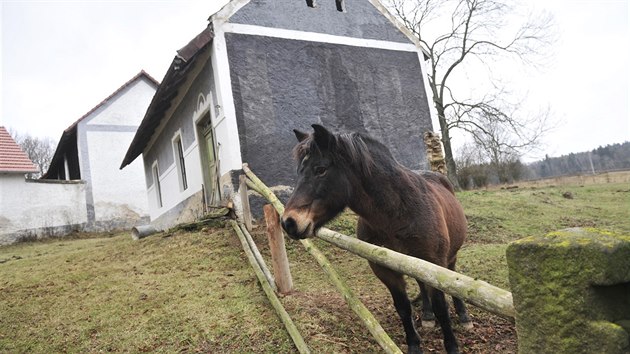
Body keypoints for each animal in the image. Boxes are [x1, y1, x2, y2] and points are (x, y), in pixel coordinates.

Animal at [284, 125, 472, 354]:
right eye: (299, 171)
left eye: (320, 169)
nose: (289, 222)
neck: (398, 212)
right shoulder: (384, 269)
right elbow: (403, 307)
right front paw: (414, 344)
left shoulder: (434, 264)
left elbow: (442, 309)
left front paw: (452, 346)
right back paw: (428, 317)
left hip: (447, 258)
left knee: (453, 276)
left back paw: (463, 315)